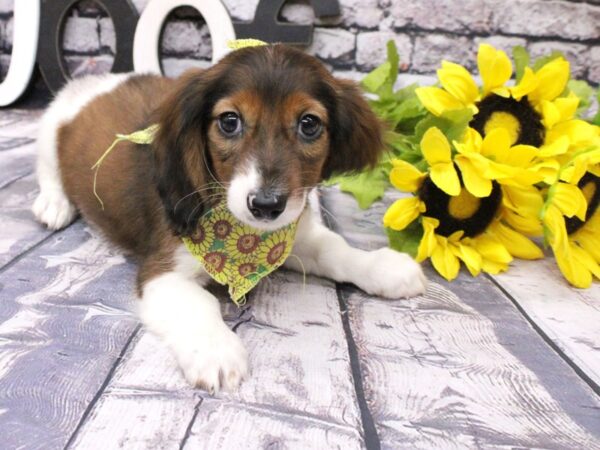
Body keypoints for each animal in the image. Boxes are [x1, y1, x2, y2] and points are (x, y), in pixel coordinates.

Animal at [32, 44, 426, 392]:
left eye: (309, 124)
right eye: (229, 121)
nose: (266, 205)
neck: (244, 235)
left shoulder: (294, 234)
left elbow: (334, 249)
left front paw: (383, 268)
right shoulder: (162, 272)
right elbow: (198, 303)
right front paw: (215, 350)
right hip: (50, 130)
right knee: (48, 171)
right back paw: (53, 204)